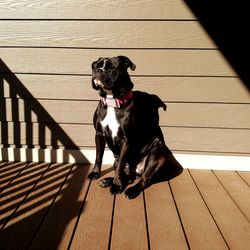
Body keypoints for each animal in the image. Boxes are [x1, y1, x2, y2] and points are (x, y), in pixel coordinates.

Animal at [87, 55, 183, 199]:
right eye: (95, 66)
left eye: (112, 67)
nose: (98, 70)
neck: (112, 101)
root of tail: (137, 170)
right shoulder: (99, 134)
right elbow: (99, 156)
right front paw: (95, 173)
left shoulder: (126, 140)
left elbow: (121, 165)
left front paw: (117, 186)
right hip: (117, 160)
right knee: (128, 175)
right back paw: (108, 180)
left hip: (157, 153)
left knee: (144, 179)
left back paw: (131, 190)